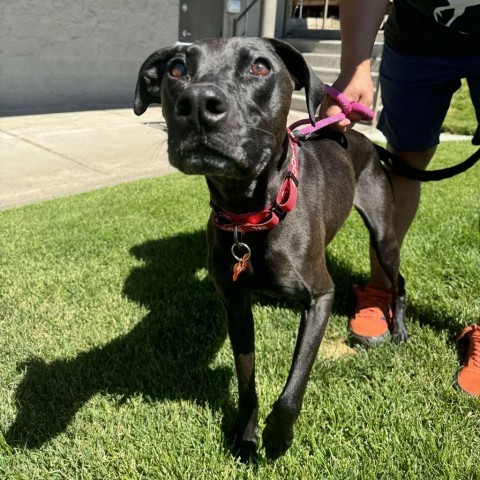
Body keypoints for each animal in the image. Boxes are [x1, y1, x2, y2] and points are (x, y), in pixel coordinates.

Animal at [133, 36, 406, 458]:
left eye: (259, 67)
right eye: (177, 69)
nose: (197, 104)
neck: (250, 216)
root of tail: (365, 139)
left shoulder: (320, 298)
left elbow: (293, 390)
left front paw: (278, 438)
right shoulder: (236, 305)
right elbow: (247, 384)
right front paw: (246, 436)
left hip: (383, 237)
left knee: (400, 282)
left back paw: (400, 332)